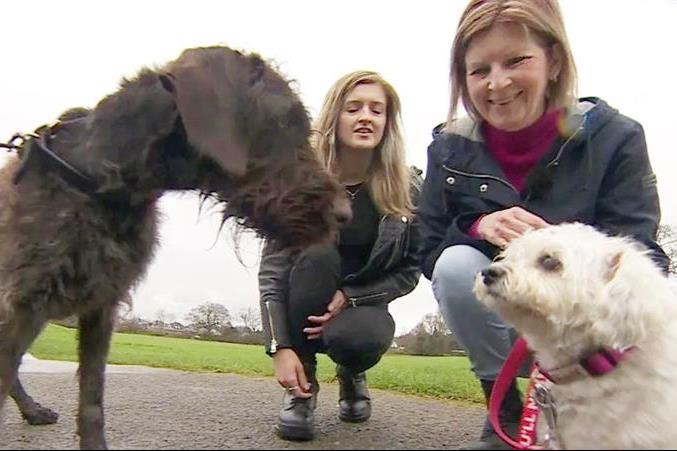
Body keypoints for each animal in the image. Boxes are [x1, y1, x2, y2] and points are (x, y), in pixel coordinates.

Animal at [0, 45, 348, 448]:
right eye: (284, 121)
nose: (345, 213)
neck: (104, 186)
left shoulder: (101, 309)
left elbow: (91, 405)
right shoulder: (21, 305)